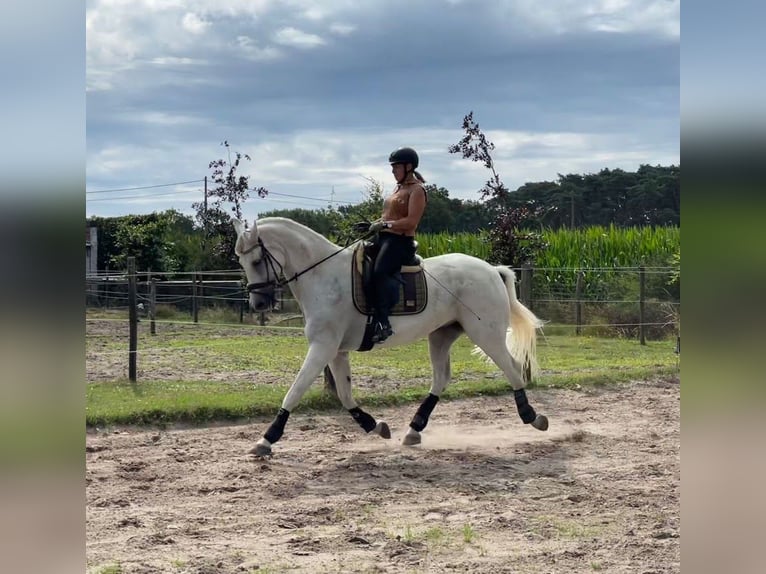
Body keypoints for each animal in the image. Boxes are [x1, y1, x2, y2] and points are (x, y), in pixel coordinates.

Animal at [231, 218, 548, 456]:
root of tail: (491, 269)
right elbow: (345, 395)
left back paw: (533, 418)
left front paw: (266, 439)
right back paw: (413, 430)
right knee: (441, 379)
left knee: (512, 368)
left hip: (486, 333)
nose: (258, 304)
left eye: (257, 260)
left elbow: (295, 390)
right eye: (241, 261)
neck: (322, 275)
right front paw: (375, 426)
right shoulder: (336, 350)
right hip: (441, 335)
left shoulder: (323, 347)